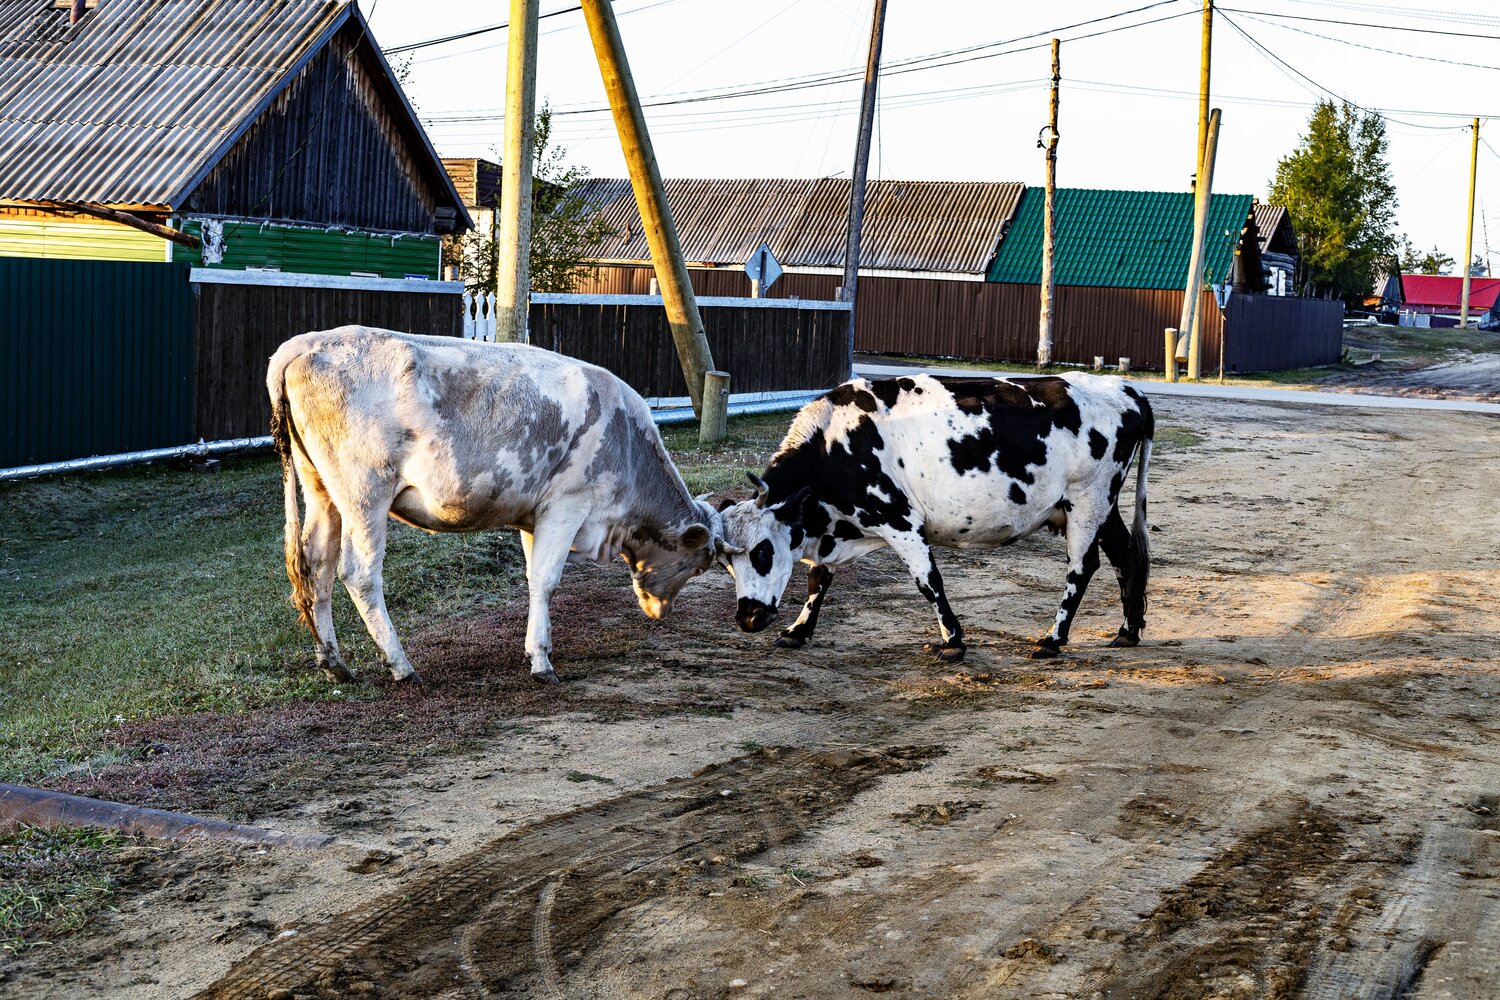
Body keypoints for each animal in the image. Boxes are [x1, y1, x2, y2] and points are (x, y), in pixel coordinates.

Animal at [267, 326, 718, 685]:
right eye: (698, 565)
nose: (661, 611)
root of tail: (307, 341)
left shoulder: (534, 516)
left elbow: (534, 577)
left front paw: (538, 648)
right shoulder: (569, 504)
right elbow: (546, 579)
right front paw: (542, 663)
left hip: (322, 490)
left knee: (317, 566)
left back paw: (334, 663)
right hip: (365, 494)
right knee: (359, 574)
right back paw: (401, 666)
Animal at [712, 372, 1153, 661]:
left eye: (763, 551)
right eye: (725, 565)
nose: (747, 618)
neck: (837, 445)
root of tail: (1125, 388)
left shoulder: (900, 521)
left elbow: (929, 582)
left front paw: (952, 641)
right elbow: (817, 580)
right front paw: (797, 631)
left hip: (1088, 500)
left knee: (1083, 566)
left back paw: (1052, 639)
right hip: (1101, 506)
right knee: (1124, 555)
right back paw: (1127, 632)